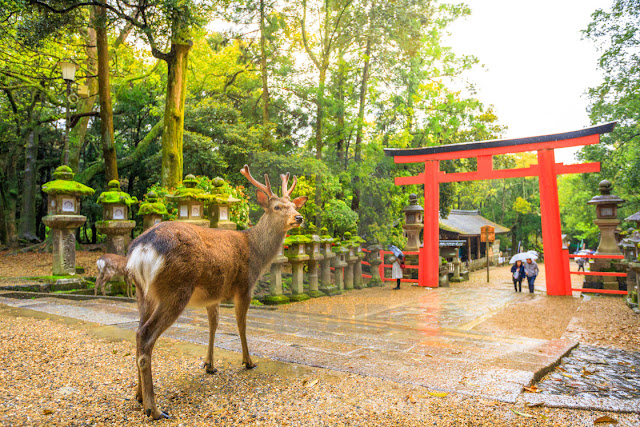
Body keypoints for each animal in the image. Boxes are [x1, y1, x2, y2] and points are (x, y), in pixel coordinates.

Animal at [125, 166, 308, 422]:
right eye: (277, 207)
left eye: (293, 205)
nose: (299, 218)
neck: (257, 253)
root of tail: (141, 251)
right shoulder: (244, 286)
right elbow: (241, 325)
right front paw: (248, 361)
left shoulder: (213, 295)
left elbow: (213, 326)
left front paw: (209, 364)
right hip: (176, 289)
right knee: (145, 335)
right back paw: (155, 409)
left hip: (144, 294)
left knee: (137, 333)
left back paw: (139, 396)